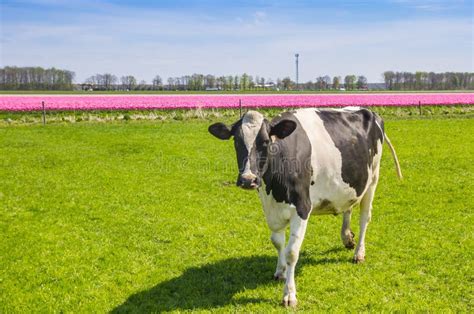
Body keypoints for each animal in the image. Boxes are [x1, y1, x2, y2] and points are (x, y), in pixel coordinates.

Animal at [207, 107, 400, 306]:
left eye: (266, 142)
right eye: (236, 140)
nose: (248, 179)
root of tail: (368, 111)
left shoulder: (302, 207)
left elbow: (292, 252)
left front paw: (289, 294)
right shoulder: (270, 208)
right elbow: (277, 242)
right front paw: (280, 272)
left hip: (373, 179)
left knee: (364, 218)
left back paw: (359, 253)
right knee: (348, 207)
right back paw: (347, 238)